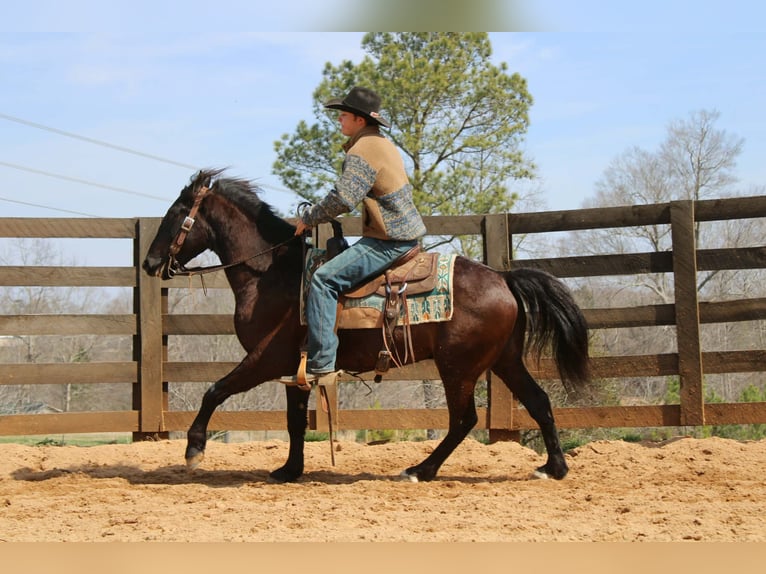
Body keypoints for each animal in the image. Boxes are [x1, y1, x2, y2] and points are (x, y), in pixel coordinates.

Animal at [142, 169, 590, 483]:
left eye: (176, 213)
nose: (149, 263)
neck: (272, 275)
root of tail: (503, 278)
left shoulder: (266, 358)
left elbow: (215, 391)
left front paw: (194, 450)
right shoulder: (293, 367)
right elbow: (294, 420)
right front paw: (289, 470)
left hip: (459, 367)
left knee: (463, 420)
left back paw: (420, 470)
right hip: (504, 360)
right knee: (538, 402)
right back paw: (553, 468)